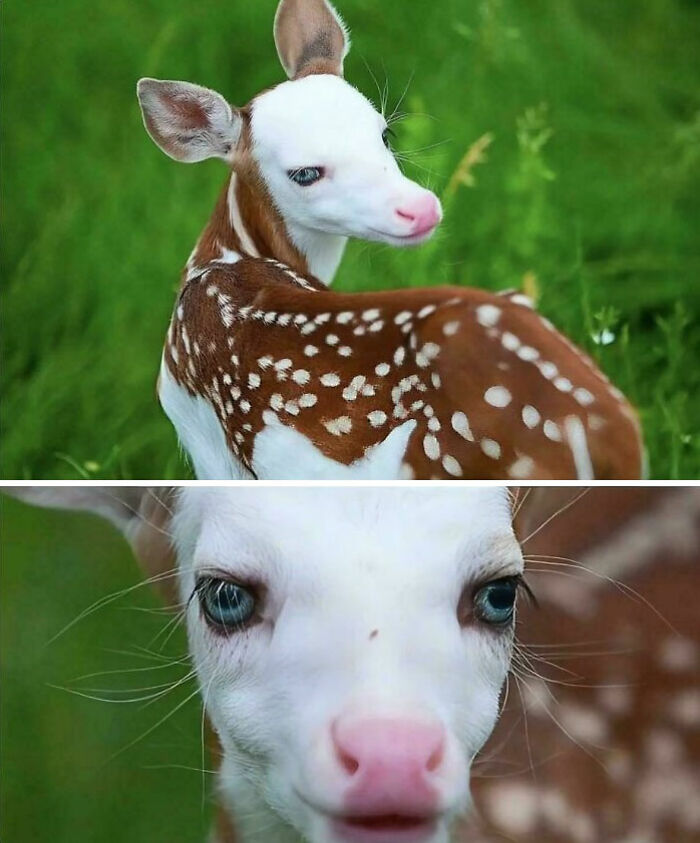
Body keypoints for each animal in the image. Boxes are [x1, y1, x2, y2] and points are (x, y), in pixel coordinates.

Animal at [136, 0, 644, 481]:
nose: (421, 208)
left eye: (385, 132)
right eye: (305, 173)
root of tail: (612, 438)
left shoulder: (205, 438)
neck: (222, 261)